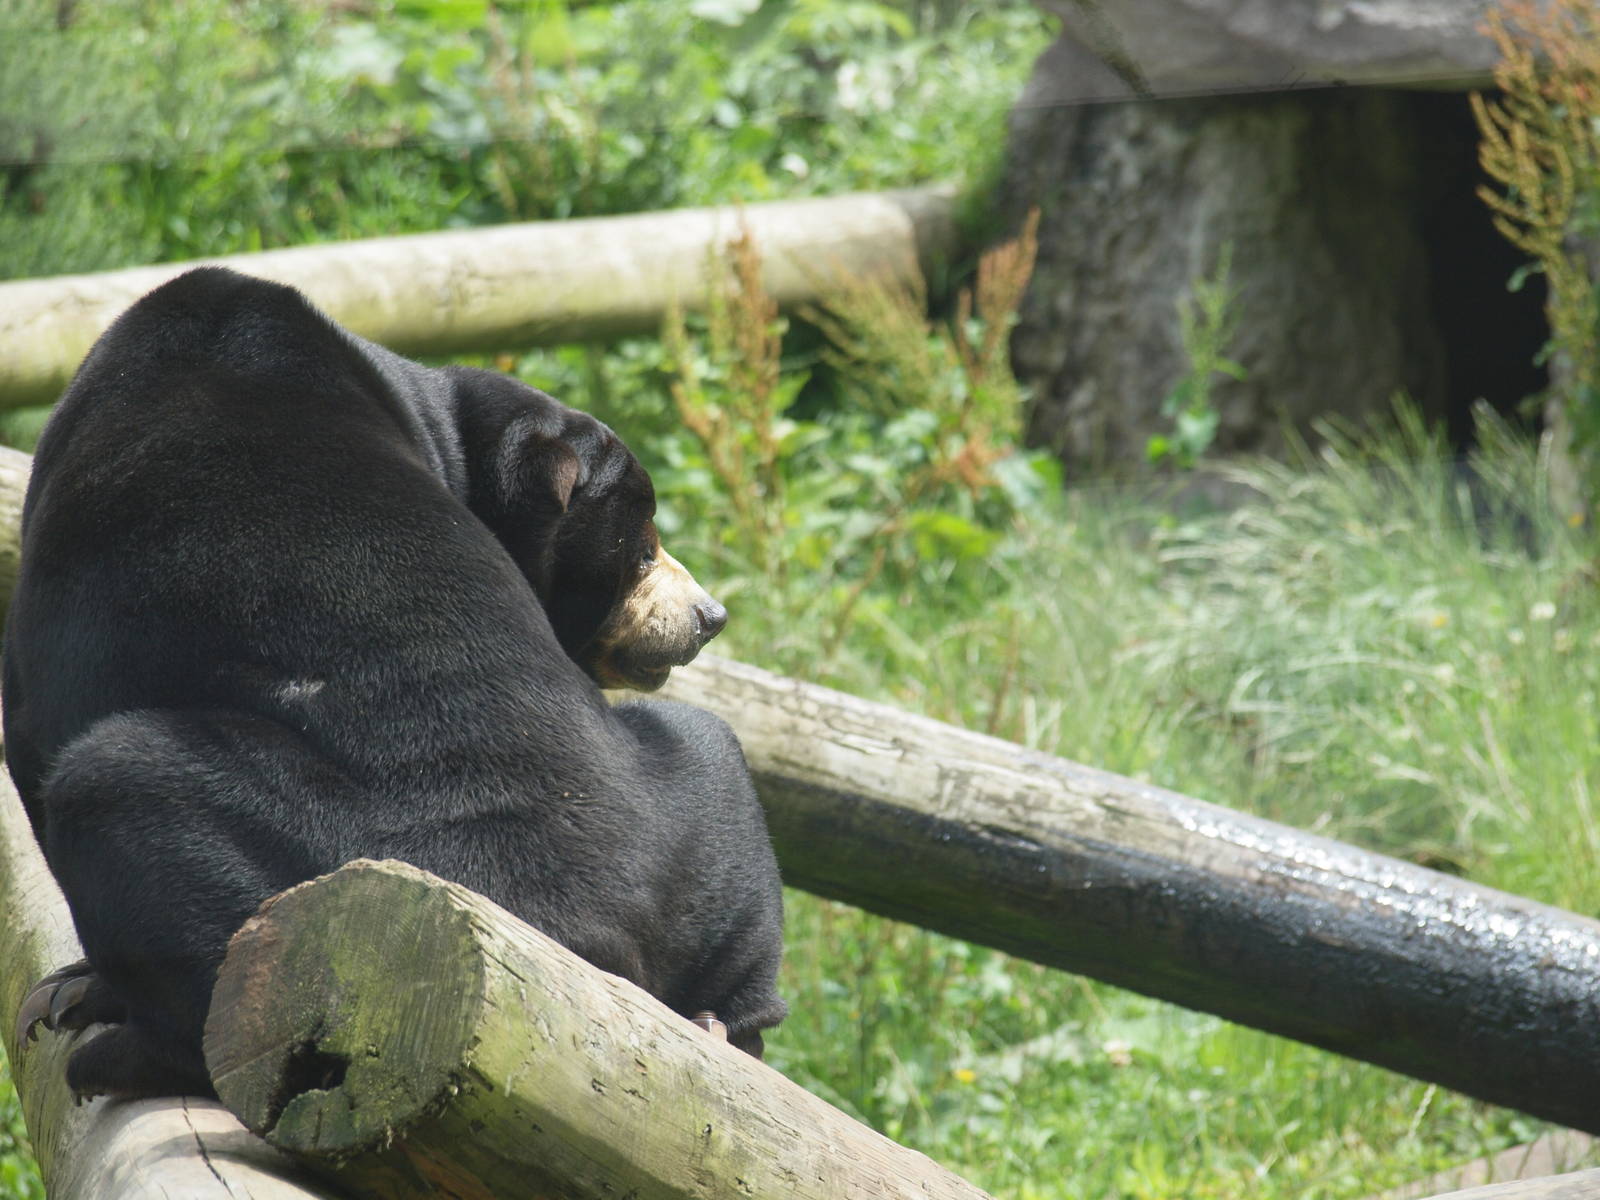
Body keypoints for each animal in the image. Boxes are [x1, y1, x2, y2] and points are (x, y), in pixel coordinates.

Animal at [5, 266, 786, 1101]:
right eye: (642, 552)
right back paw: (716, 1026)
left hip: (316, 878)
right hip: (681, 831)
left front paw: (79, 989)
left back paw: (118, 1053)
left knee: (115, 782)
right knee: (716, 754)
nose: (710, 617)